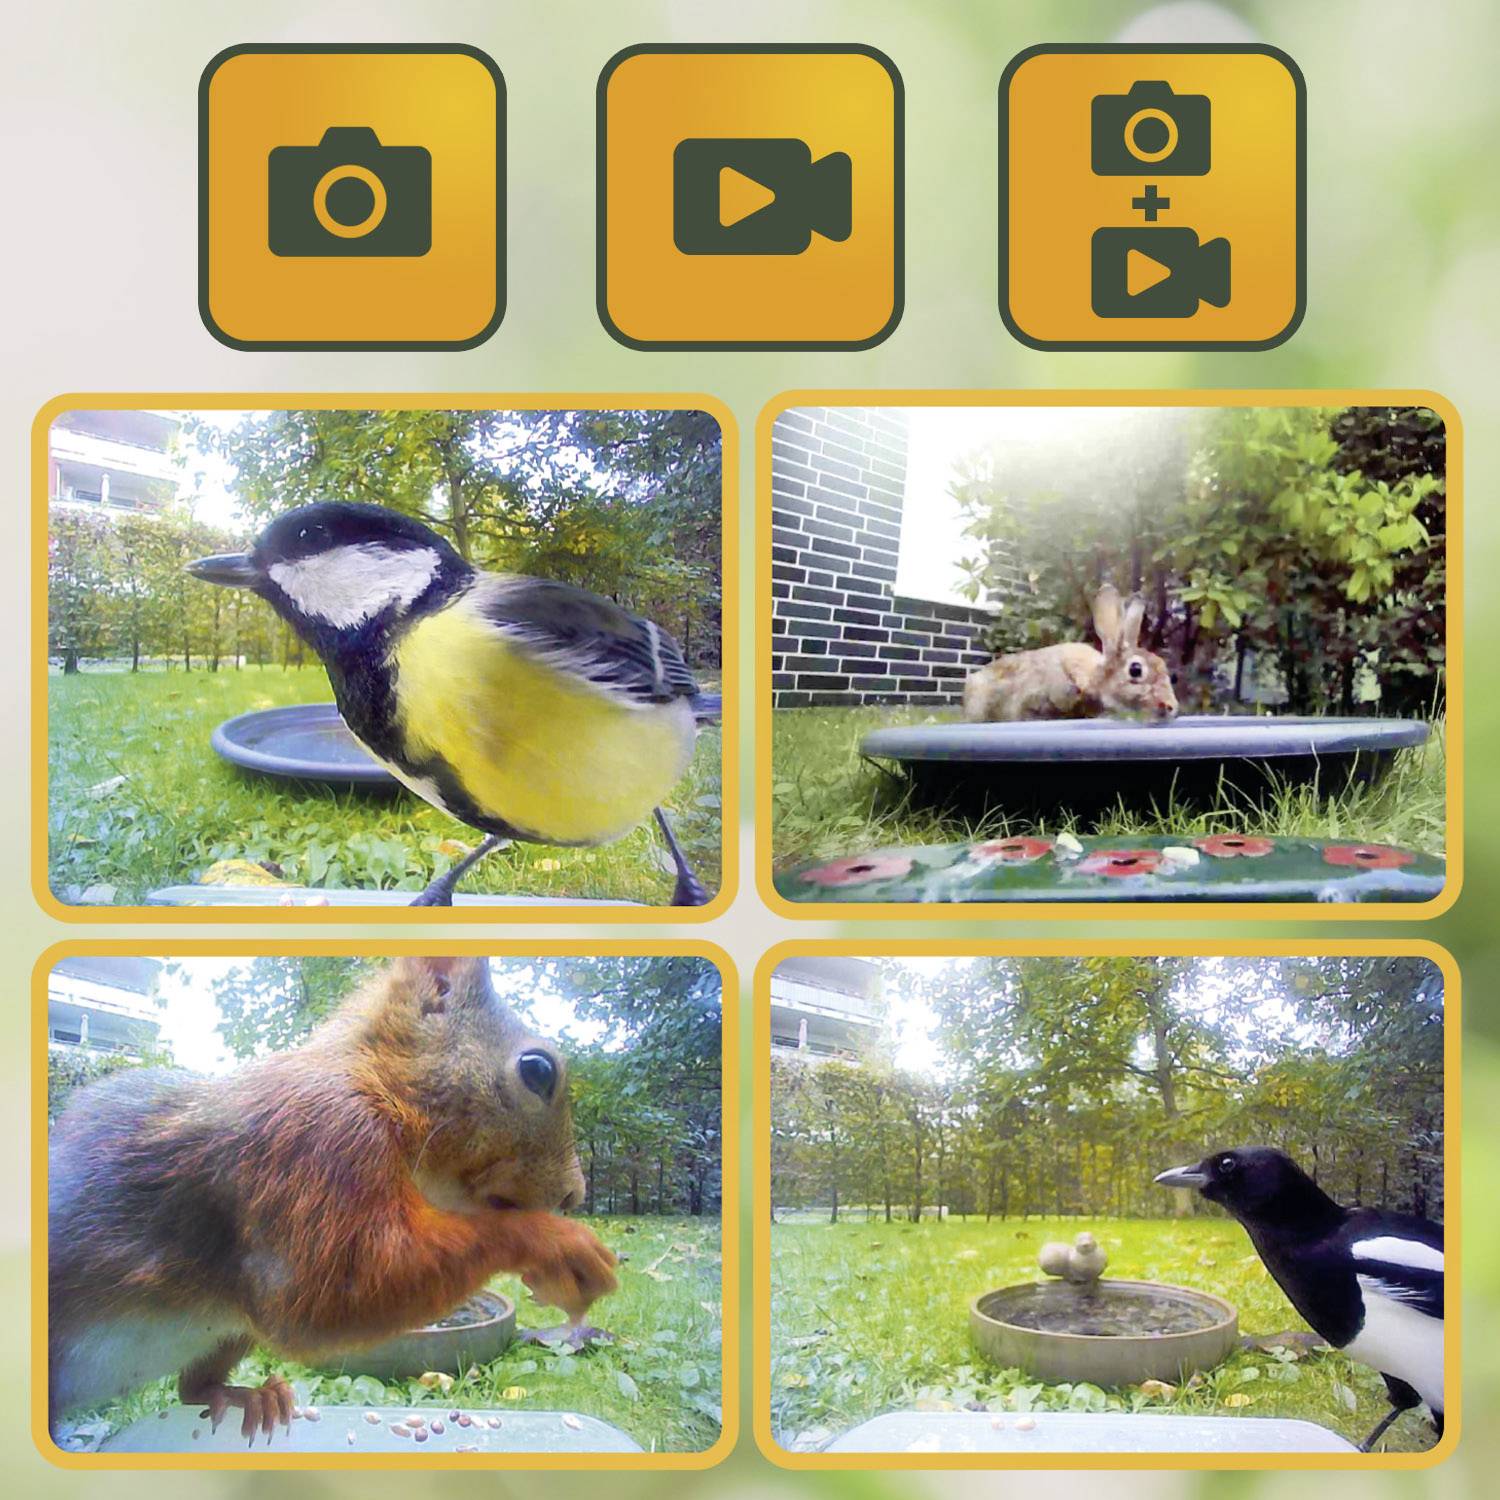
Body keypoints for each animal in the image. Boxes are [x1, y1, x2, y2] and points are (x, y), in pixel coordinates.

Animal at [47, 955, 617, 1445]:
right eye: (538, 1070)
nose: (574, 1194)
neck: (375, 1081)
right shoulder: (316, 1141)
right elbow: (328, 1297)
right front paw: (560, 1244)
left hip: (229, 1333)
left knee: (192, 1390)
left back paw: (242, 1395)